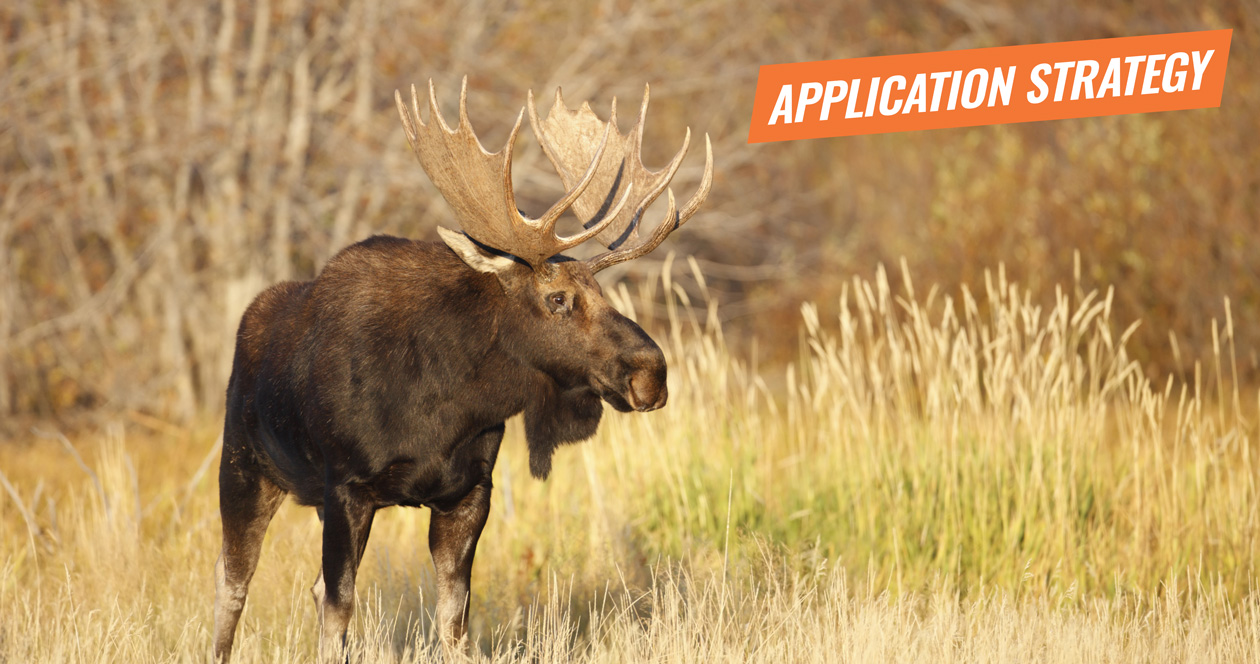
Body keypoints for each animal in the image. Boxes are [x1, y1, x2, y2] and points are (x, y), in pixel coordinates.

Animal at [211, 78, 712, 663]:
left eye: (604, 292)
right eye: (557, 299)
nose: (651, 373)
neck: (445, 409)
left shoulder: (470, 491)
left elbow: (454, 618)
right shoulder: (346, 487)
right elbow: (338, 610)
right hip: (244, 466)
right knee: (233, 580)